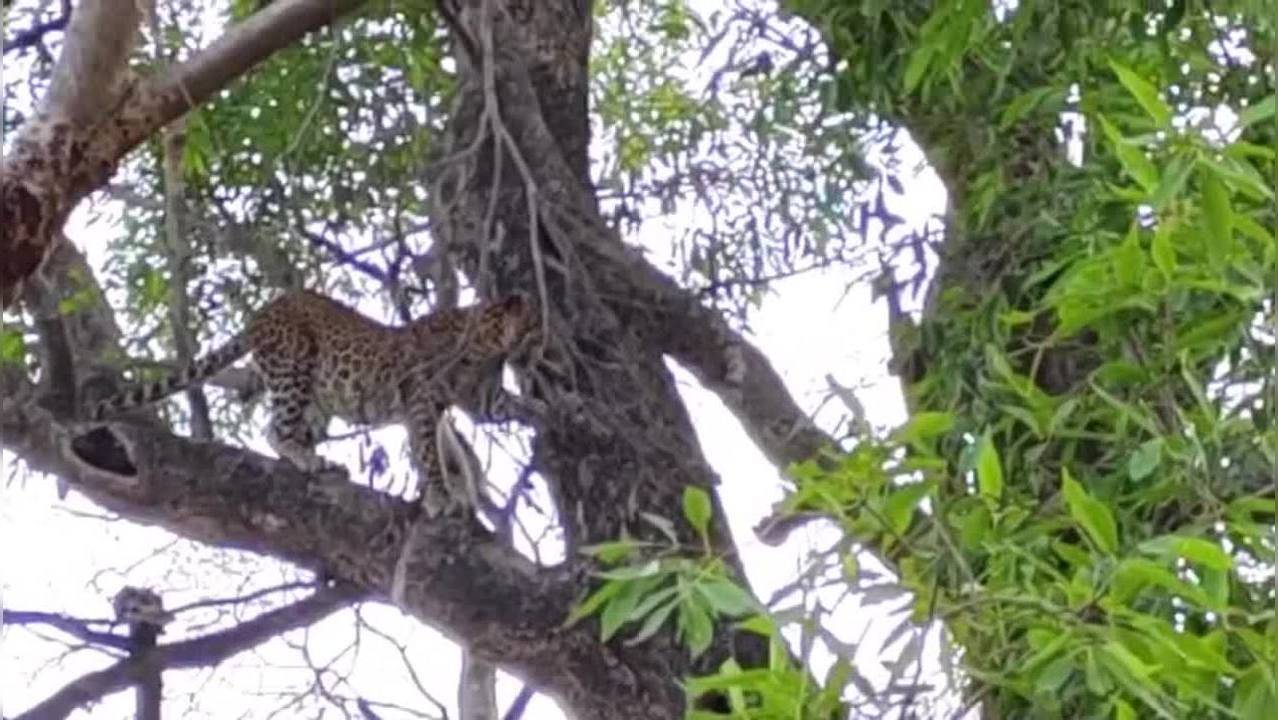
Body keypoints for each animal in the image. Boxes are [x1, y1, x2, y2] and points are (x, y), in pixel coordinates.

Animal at [90, 290, 539, 516]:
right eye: (532, 324)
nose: (540, 346)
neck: (485, 343)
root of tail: (260, 314)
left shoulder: (477, 398)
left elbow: (474, 427)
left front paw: (545, 410)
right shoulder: (422, 400)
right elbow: (429, 451)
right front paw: (441, 497)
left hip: (317, 398)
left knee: (284, 427)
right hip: (294, 366)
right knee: (277, 429)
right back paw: (308, 459)